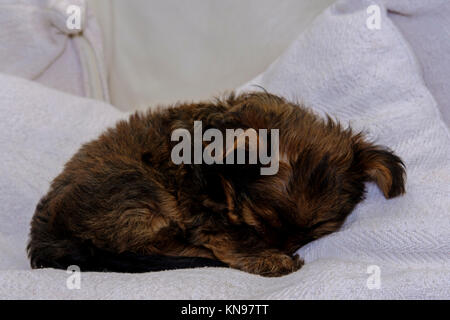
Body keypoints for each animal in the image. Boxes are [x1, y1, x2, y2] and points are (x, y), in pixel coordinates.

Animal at [28, 91, 408, 276]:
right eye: (259, 221)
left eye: (313, 233)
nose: (284, 249)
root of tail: (46, 238)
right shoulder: (200, 209)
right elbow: (228, 236)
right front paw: (269, 259)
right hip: (137, 190)